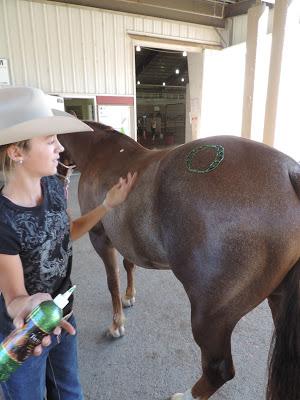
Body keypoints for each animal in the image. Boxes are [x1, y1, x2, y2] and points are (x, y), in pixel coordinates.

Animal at [57, 122, 298, 400]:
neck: (101, 152)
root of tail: (289, 172)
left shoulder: (100, 237)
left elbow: (112, 281)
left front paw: (117, 323)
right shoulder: (126, 238)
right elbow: (129, 265)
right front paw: (129, 297)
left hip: (210, 318)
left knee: (218, 370)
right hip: (278, 300)